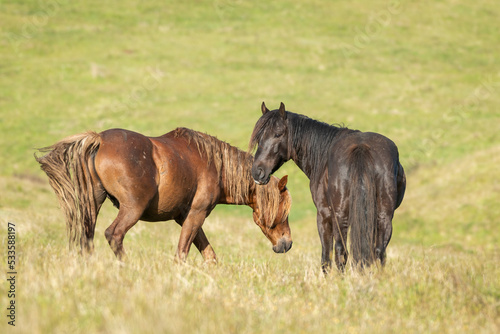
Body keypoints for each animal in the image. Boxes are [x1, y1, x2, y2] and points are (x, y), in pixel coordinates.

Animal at [36, 126, 292, 262]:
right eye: (285, 211)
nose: (287, 244)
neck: (214, 165)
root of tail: (99, 139)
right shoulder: (196, 214)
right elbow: (182, 253)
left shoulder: (184, 217)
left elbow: (209, 255)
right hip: (132, 209)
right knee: (114, 234)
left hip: (93, 203)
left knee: (87, 238)